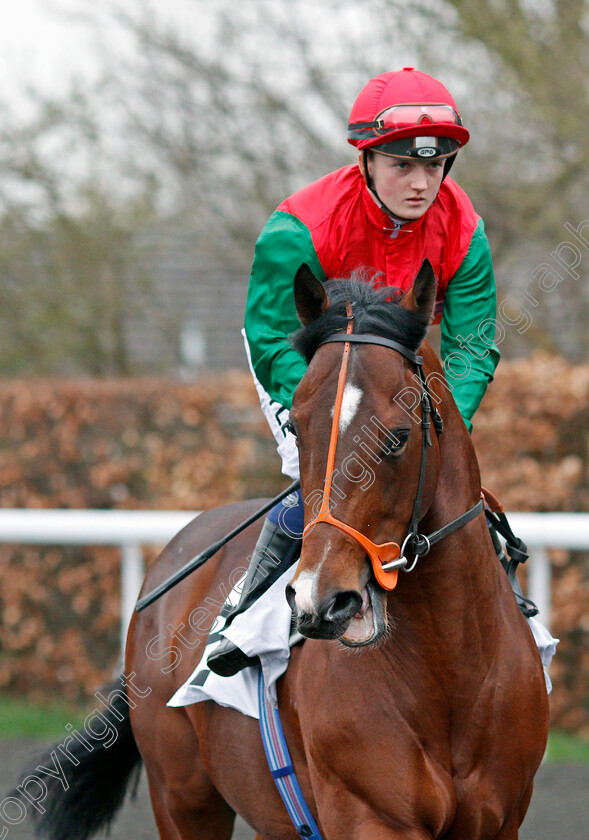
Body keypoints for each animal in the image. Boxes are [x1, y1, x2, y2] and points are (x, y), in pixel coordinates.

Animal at [20, 260, 548, 836]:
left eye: (399, 436)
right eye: (295, 426)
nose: (323, 601)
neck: (452, 671)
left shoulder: (504, 816)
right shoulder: (371, 814)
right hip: (181, 795)